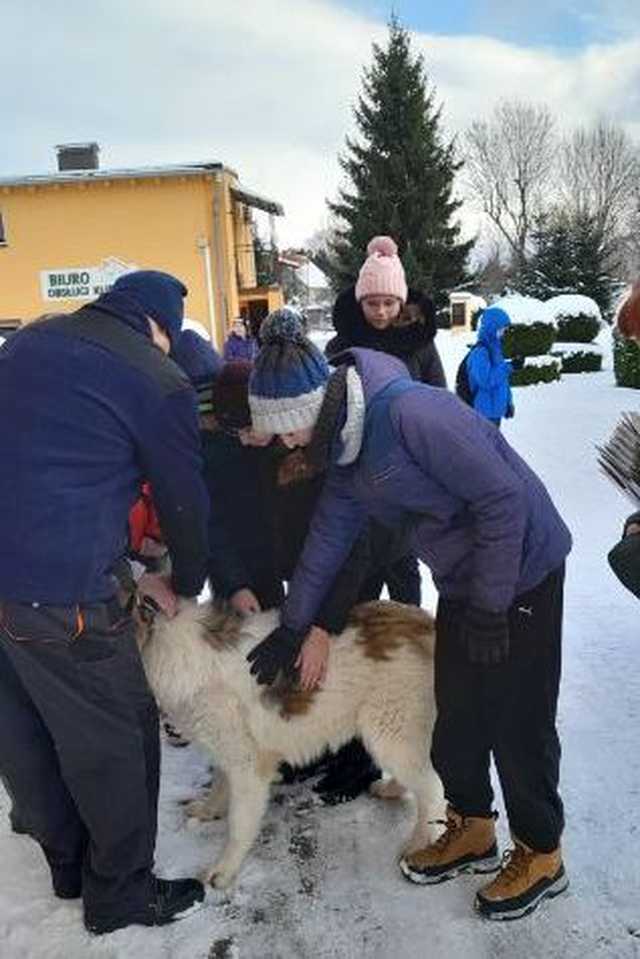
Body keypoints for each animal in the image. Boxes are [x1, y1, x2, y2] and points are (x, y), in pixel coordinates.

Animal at [138, 604, 442, 888]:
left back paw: (419, 843)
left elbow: (239, 824)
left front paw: (223, 870)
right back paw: (392, 789)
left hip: (390, 731)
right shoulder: (228, 748)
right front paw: (208, 810)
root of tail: (424, 621)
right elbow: (219, 784)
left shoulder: (248, 766)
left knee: (432, 789)